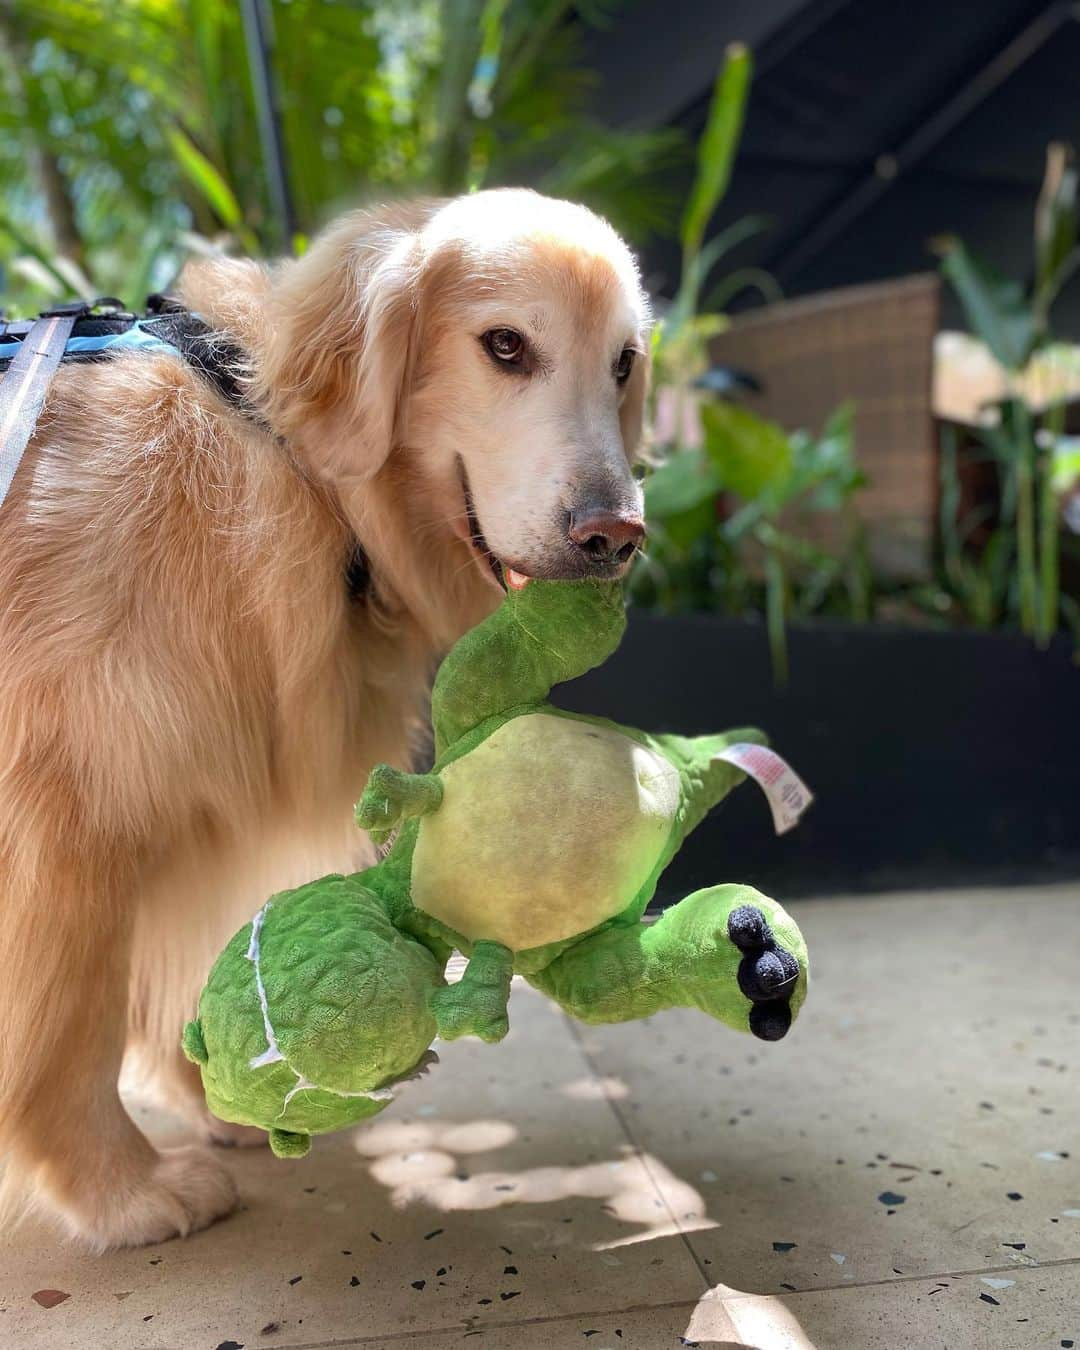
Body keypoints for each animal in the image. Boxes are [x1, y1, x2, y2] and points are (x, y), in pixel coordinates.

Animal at [0, 187, 650, 1242]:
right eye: (505, 345)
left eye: (625, 361)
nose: (616, 537)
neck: (285, 463)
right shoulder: (64, 811)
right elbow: (70, 1023)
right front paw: (120, 1188)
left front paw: (208, 1092)